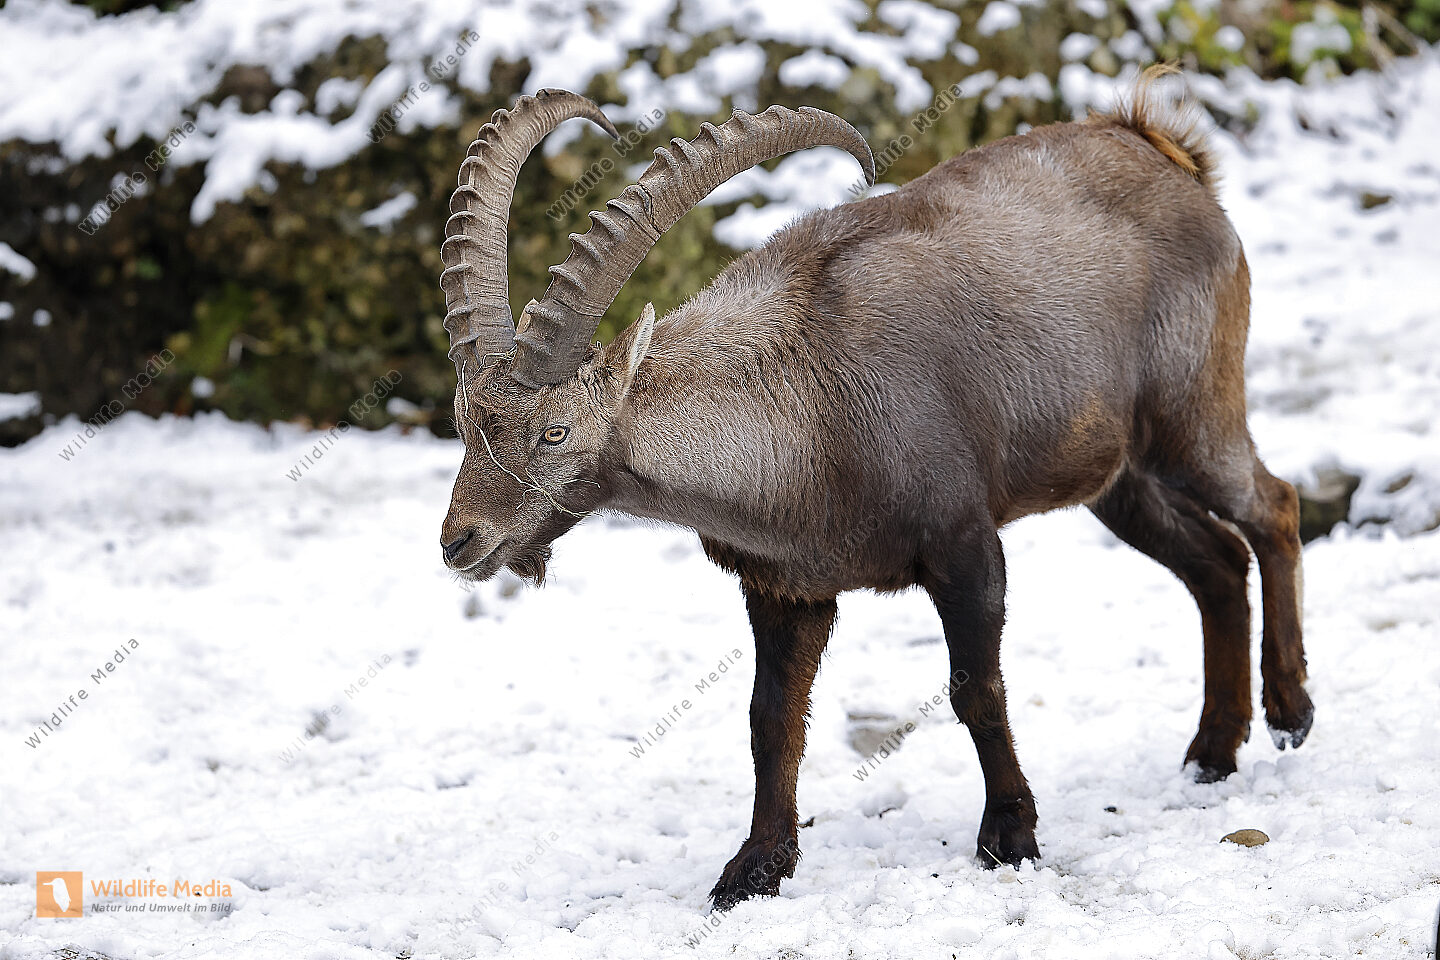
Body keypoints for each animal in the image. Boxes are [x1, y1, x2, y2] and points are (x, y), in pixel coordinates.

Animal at [434, 68, 1313, 910]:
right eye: (464, 421)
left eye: (555, 432)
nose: (458, 541)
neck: (805, 414)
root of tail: (1165, 151)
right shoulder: (786, 590)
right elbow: (770, 721)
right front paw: (755, 870)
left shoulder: (965, 547)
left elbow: (975, 690)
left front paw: (1010, 836)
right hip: (1117, 478)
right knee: (1215, 563)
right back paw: (1212, 752)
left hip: (1191, 414)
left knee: (1273, 507)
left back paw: (1290, 710)